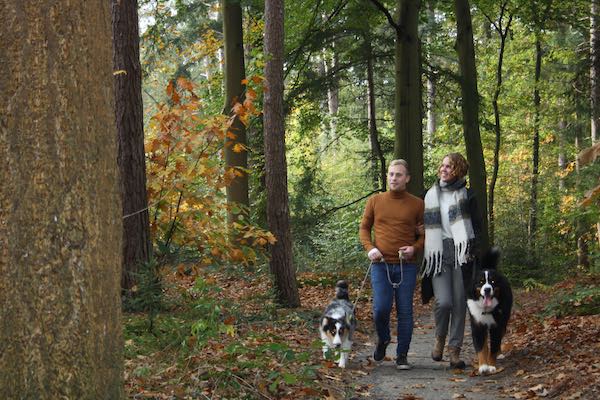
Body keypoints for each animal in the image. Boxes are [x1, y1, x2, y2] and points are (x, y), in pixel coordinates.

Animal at [466, 248, 512, 376]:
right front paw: (483, 366)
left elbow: (494, 346)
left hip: (504, 321)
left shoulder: (496, 326)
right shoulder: (477, 325)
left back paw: (500, 354)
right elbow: (481, 347)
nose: (487, 289)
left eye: (492, 281)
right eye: (481, 282)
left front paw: (491, 365)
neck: (486, 310)